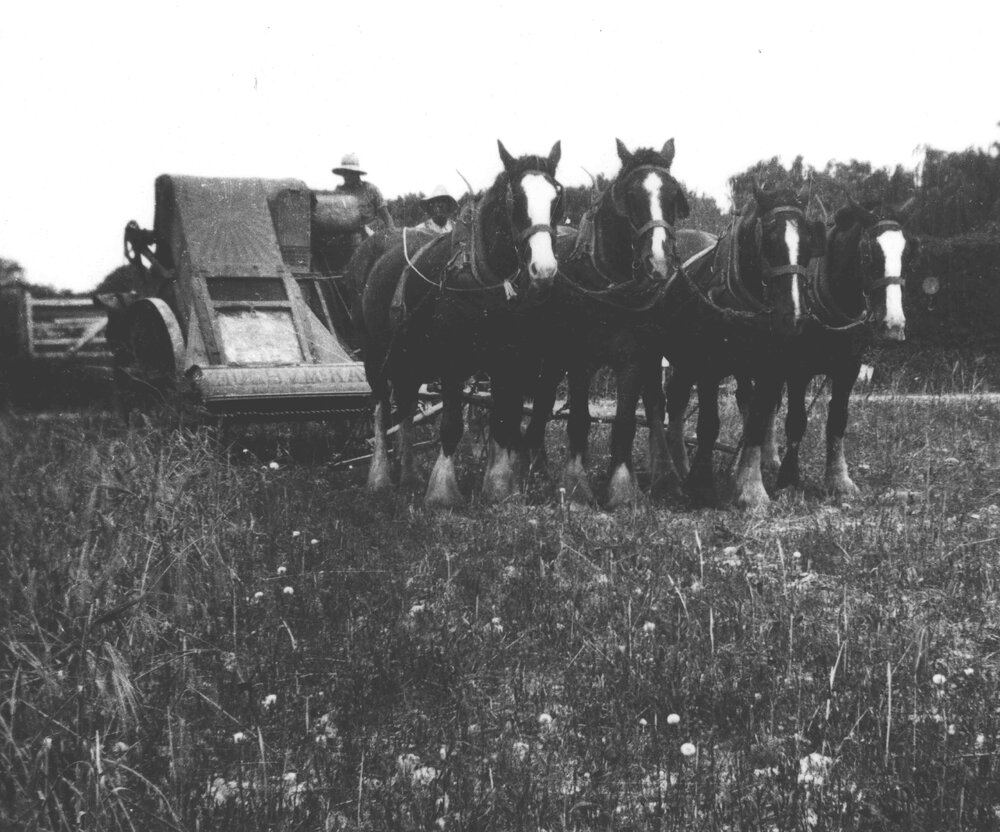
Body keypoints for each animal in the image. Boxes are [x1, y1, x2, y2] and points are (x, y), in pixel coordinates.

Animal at [356, 140, 563, 507]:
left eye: (557, 198)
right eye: (516, 200)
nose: (544, 270)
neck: (484, 277)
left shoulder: (508, 360)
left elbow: (502, 420)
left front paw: (497, 487)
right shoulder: (451, 362)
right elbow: (452, 424)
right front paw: (442, 491)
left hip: (410, 357)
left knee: (405, 408)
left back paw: (409, 476)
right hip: (376, 353)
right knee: (381, 408)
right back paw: (380, 476)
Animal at [521, 138, 692, 507]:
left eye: (673, 194)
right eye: (631, 194)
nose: (658, 263)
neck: (611, 285)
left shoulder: (634, 359)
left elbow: (624, 423)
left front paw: (622, 488)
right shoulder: (579, 359)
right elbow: (579, 421)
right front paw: (576, 485)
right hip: (550, 352)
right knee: (542, 400)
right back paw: (534, 466)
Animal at [660, 185, 827, 509]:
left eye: (808, 241)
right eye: (769, 239)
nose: (794, 316)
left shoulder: (769, 369)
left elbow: (757, 421)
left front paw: (751, 490)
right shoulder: (708, 367)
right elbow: (708, 425)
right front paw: (702, 485)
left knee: (680, 398)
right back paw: (673, 471)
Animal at [766, 195, 914, 495]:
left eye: (906, 255)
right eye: (869, 256)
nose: (893, 326)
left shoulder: (848, 369)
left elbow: (837, 420)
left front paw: (838, 479)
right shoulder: (797, 370)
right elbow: (796, 421)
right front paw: (789, 478)